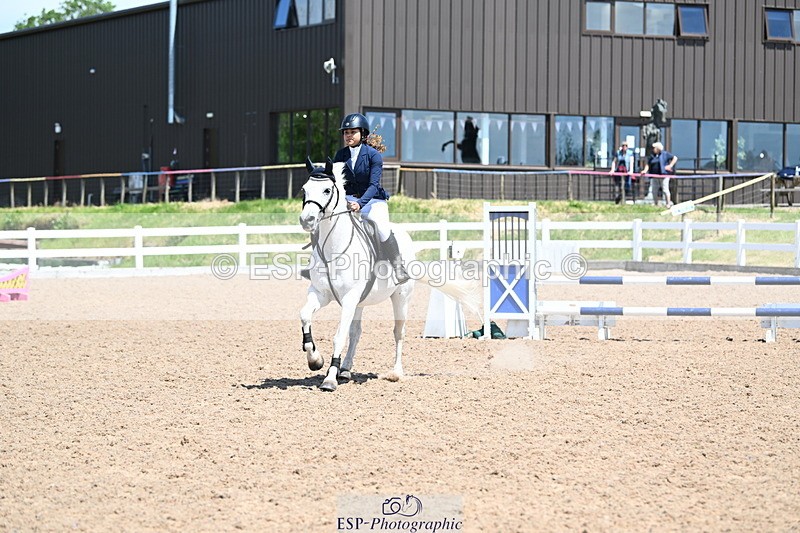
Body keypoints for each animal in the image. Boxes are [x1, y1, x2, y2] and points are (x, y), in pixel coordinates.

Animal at [298, 158, 481, 392]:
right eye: (304, 189)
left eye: (327, 190)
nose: (307, 220)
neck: (334, 248)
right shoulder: (321, 294)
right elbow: (305, 315)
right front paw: (315, 360)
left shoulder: (348, 299)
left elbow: (338, 336)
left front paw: (329, 379)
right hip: (360, 302)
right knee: (356, 332)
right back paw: (345, 369)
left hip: (400, 297)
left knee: (398, 332)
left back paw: (395, 373)